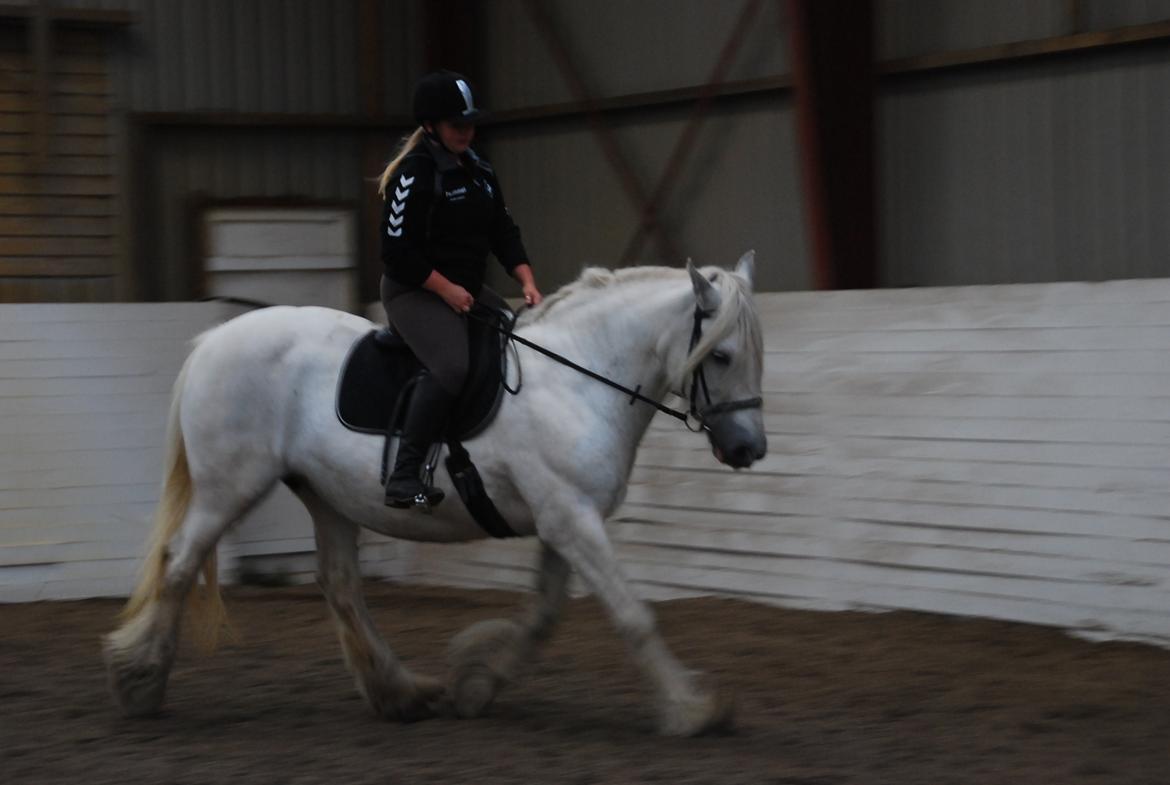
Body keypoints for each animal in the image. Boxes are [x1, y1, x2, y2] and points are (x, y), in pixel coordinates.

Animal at [102, 251, 767, 739]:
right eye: (722, 355)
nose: (748, 449)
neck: (579, 377)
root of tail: (213, 341)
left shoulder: (564, 519)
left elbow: (544, 616)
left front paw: (476, 684)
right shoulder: (571, 517)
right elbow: (633, 615)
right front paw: (692, 710)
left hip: (325, 495)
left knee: (340, 586)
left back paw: (400, 694)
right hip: (229, 486)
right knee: (179, 563)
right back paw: (141, 683)